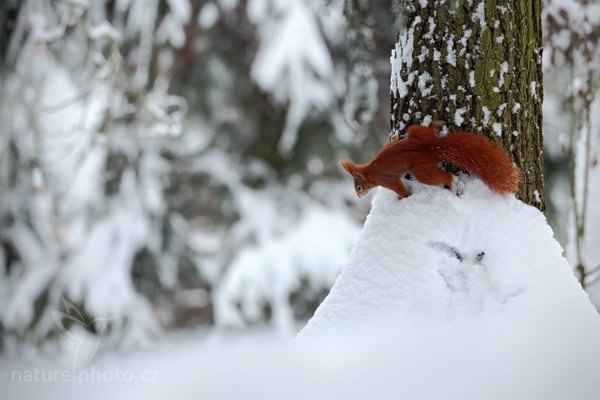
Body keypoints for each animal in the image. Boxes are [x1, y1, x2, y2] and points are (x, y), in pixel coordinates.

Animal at [342, 124, 520, 198]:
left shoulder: (385, 180)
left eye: (358, 188)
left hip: (421, 171)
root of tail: (429, 148)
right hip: (417, 132)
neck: (370, 171)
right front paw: (392, 137)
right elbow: (390, 143)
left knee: (444, 176)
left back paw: (452, 183)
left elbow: (398, 188)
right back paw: (435, 123)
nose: (358, 197)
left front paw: (404, 197)